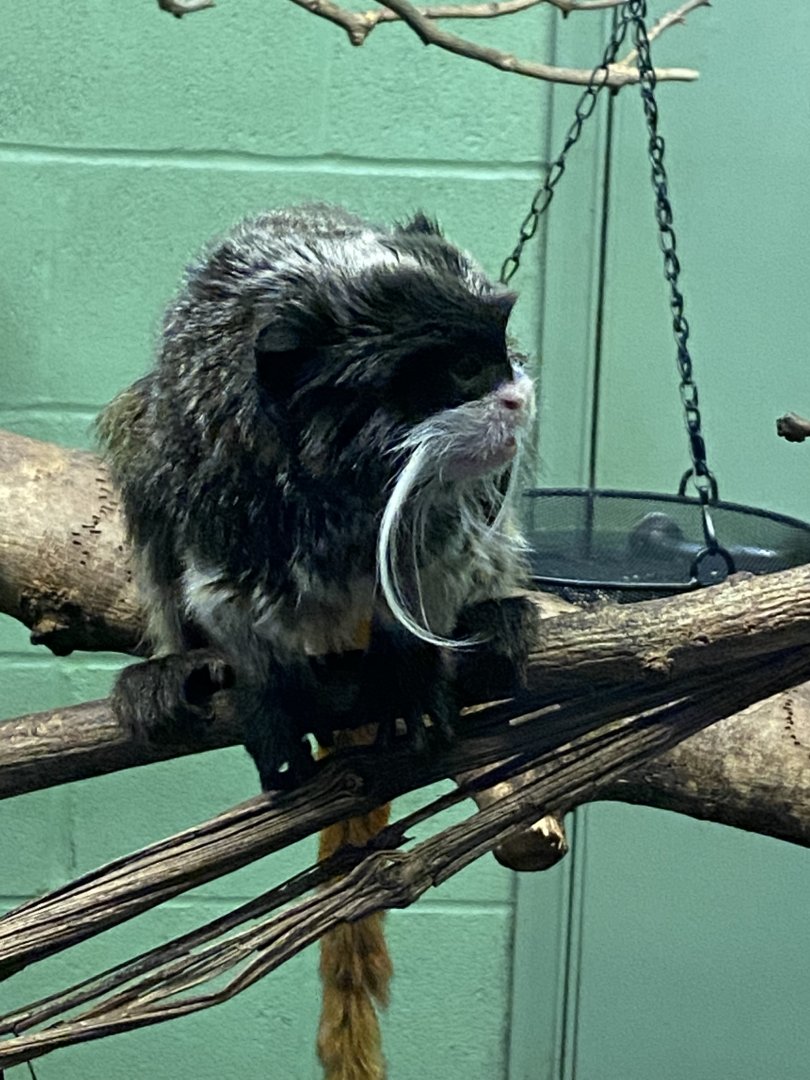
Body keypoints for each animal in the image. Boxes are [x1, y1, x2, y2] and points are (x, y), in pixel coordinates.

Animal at [98, 204, 536, 1080]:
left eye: (504, 351)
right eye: (465, 368)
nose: (518, 394)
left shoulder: (432, 505)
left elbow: (437, 557)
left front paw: (415, 674)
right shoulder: (226, 478)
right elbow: (223, 591)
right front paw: (264, 696)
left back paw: (492, 622)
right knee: (142, 447)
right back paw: (179, 667)